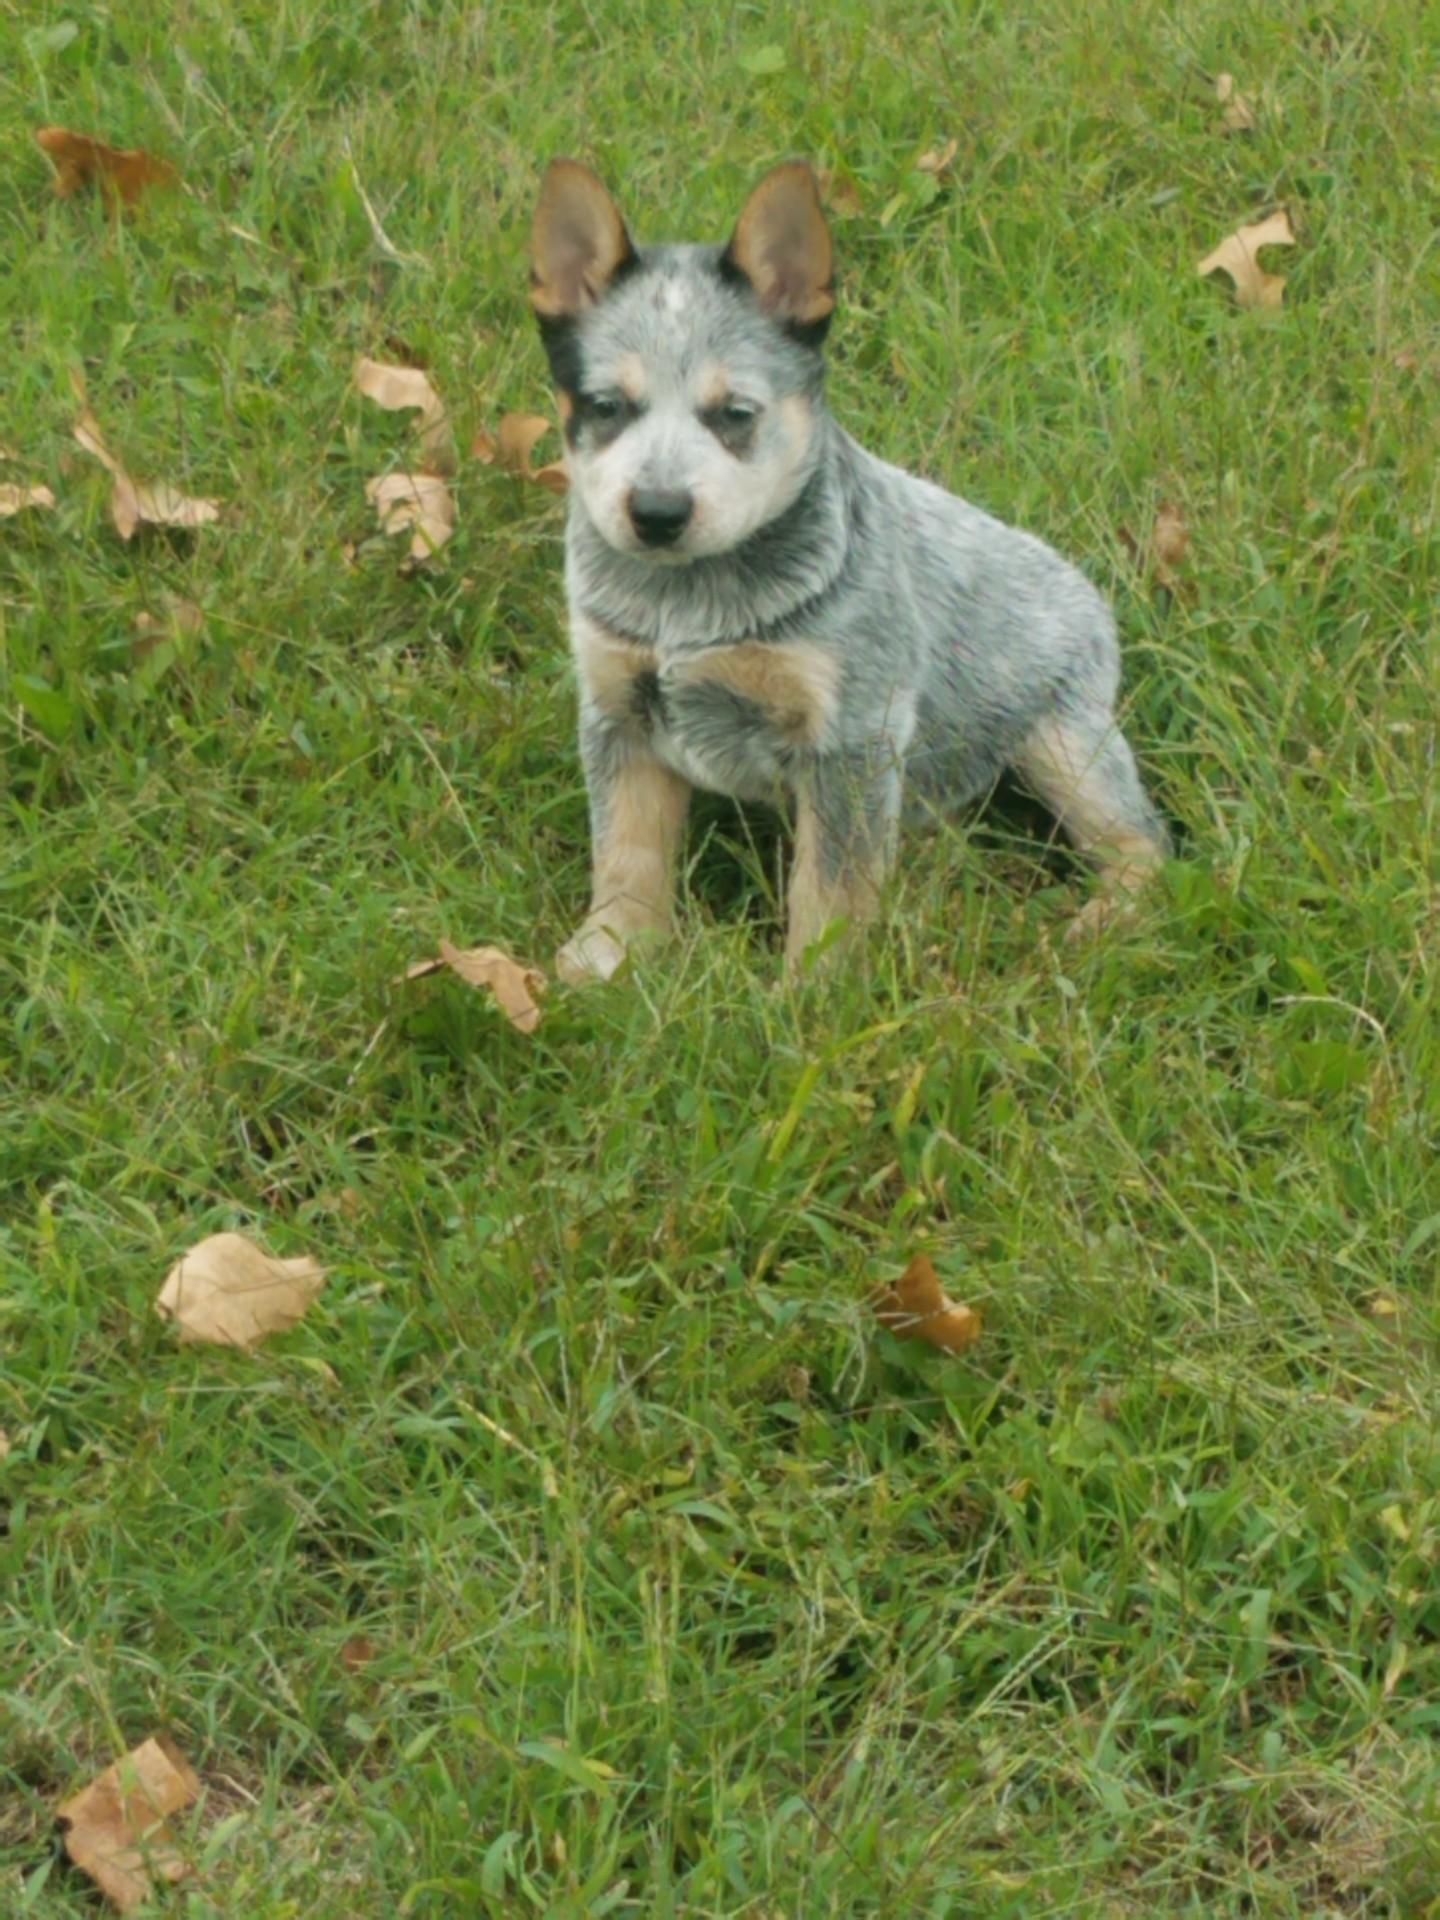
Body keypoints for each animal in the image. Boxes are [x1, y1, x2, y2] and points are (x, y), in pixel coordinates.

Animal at [529, 153, 1175, 975]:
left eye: (736, 413)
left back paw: (1101, 922)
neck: (688, 604)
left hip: (1064, 741)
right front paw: (607, 957)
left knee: (1146, 843)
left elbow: (830, 888)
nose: (658, 511)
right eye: (606, 406)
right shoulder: (619, 710)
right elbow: (626, 850)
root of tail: (1085, 588)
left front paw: (815, 991)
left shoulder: (852, 736)